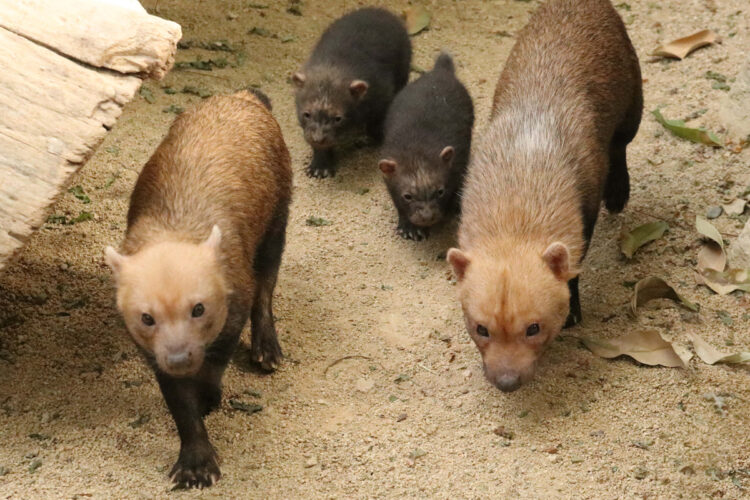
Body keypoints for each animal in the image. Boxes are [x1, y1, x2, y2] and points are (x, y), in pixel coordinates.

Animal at [104, 90, 292, 488]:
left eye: (199, 308)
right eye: (146, 317)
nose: (178, 358)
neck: (175, 227)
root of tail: (242, 95)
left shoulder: (232, 314)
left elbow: (213, 368)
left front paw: (209, 399)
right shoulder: (153, 353)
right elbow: (180, 405)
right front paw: (195, 463)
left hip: (277, 224)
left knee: (267, 286)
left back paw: (267, 349)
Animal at [446, 0, 648, 390]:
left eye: (533, 328)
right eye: (481, 328)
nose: (507, 380)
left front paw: (574, 312)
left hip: (633, 104)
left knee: (621, 146)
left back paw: (619, 192)